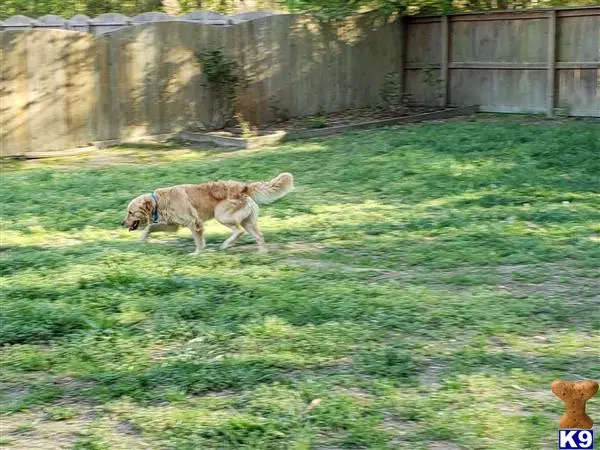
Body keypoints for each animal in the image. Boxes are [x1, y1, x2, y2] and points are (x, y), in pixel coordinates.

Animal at [121, 174, 292, 255]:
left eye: (130, 212)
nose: (121, 223)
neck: (159, 201)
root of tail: (244, 187)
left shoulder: (194, 222)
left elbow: (198, 241)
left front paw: (197, 253)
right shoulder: (172, 226)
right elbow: (150, 227)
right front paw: (142, 239)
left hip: (221, 215)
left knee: (239, 231)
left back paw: (226, 244)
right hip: (247, 221)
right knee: (259, 235)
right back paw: (262, 253)